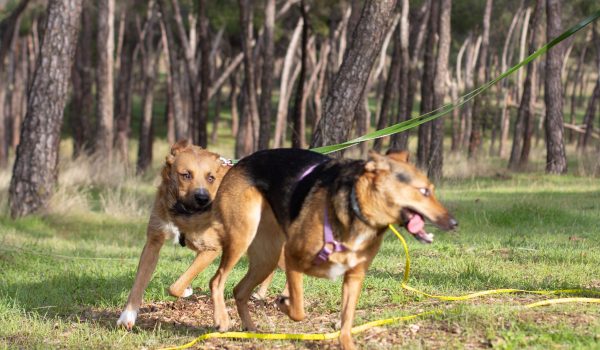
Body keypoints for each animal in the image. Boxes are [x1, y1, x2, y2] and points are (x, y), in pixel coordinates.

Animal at [204, 148, 458, 350]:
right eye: (424, 191)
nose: (454, 223)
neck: (356, 210)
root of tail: (241, 162)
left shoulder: (354, 277)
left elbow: (346, 321)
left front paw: (346, 344)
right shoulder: (293, 259)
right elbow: (298, 310)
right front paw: (284, 303)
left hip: (267, 257)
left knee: (239, 290)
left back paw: (250, 329)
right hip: (243, 238)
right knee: (217, 280)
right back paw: (222, 320)